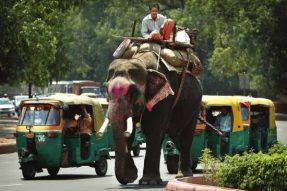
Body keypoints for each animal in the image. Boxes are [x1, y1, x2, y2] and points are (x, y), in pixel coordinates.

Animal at [105, 43, 202, 185]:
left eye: (133, 92)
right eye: (106, 89)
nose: (130, 178)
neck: (143, 63)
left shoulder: (164, 98)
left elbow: (152, 129)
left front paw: (148, 182)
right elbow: (131, 130)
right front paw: (131, 177)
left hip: (195, 106)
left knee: (185, 135)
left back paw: (183, 175)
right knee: (174, 135)